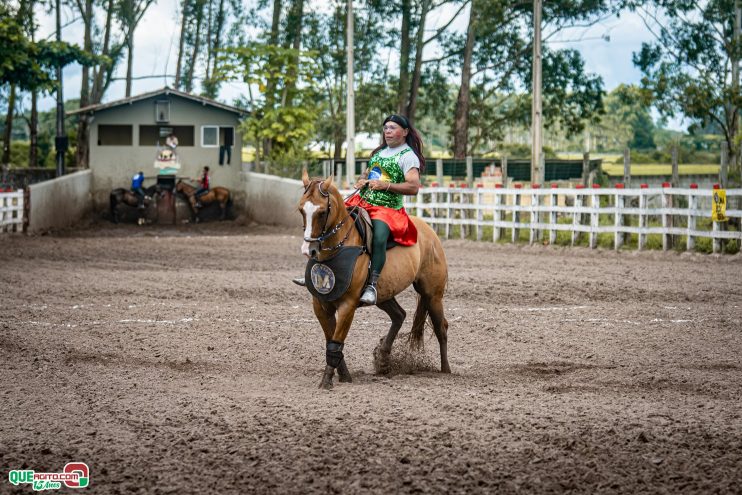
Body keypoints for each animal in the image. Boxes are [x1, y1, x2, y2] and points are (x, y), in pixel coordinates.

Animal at [298, 170, 450, 392]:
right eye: (301, 209)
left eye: (322, 212)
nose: (308, 250)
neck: (340, 247)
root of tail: (429, 233)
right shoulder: (320, 305)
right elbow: (331, 340)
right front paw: (344, 376)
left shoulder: (348, 305)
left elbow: (336, 341)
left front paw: (327, 380)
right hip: (385, 295)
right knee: (399, 315)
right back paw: (384, 358)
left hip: (433, 295)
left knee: (441, 328)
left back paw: (446, 370)